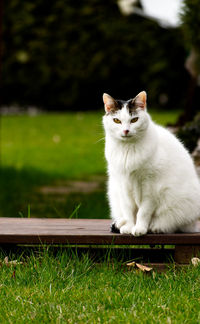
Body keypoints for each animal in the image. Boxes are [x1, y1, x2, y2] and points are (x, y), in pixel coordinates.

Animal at [102, 91, 200, 235]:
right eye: (117, 121)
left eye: (134, 120)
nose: (126, 131)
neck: (128, 150)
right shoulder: (123, 185)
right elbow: (128, 210)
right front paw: (129, 227)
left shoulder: (151, 188)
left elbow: (143, 212)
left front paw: (139, 228)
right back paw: (119, 224)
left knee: (174, 224)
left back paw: (155, 227)